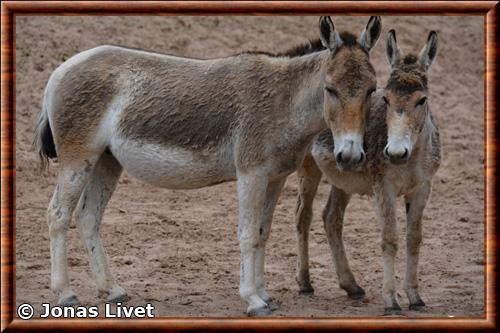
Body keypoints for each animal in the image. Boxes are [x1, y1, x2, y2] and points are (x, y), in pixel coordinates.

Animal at [33, 17, 380, 314]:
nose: (350, 155)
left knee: (88, 217)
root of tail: (62, 69)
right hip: (78, 158)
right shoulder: (251, 173)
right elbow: (247, 233)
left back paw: (112, 290)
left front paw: (265, 295)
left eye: (371, 90)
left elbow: (263, 233)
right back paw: (65, 294)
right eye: (330, 89)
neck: (284, 101)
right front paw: (252, 299)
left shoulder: (276, 177)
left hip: (107, 160)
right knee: (58, 215)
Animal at [294, 30, 440, 314]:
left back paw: (351, 286)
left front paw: (415, 297)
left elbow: (414, 239)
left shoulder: (421, 188)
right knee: (303, 215)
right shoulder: (383, 188)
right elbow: (390, 239)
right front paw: (391, 302)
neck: (412, 159)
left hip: (343, 177)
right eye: (386, 99)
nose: (395, 153)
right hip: (310, 168)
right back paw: (305, 282)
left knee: (331, 218)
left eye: (422, 99)